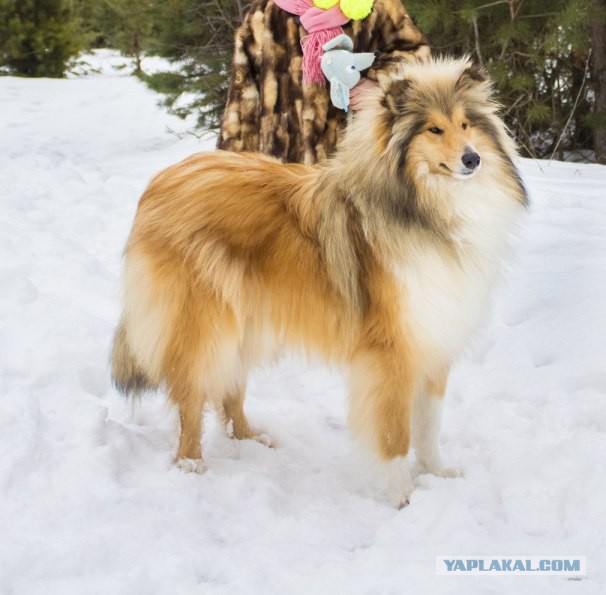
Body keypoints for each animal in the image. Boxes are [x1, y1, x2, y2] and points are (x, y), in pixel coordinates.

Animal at [111, 58, 528, 508]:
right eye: (433, 129)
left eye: (466, 123)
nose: (473, 160)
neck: (428, 207)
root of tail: (162, 181)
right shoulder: (392, 351)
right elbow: (395, 433)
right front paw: (401, 496)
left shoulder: (434, 339)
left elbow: (429, 425)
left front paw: (437, 473)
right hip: (205, 322)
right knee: (191, 392)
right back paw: (190, 463)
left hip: (249, 318)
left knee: (230, 385)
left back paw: (249, 438)